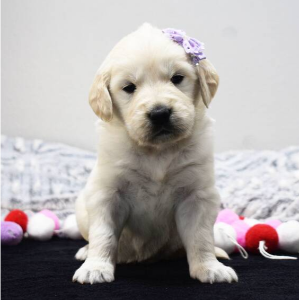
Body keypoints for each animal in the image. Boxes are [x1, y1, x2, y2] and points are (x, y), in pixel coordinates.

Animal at [72, 22, 237, 284]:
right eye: (129, 87)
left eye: (177, 78)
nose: (160, 113)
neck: (157, 151)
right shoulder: (107, 194)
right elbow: (104, 235)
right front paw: (95, 268)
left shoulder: (197, 196)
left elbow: (201, 237)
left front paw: (210, 268)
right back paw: (85, 252)